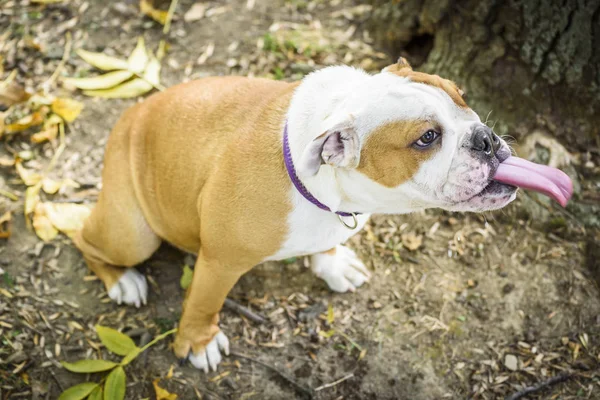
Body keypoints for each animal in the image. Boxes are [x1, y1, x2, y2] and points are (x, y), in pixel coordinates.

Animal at [75, 58, 572, 372]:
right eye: (427, 138)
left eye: (463, 98)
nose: (484, 137)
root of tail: (131, 113)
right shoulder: (219, 261)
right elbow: (204, 301)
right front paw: (198, 341)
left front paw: (332, 263)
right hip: (132, 233)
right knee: (84, 237)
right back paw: (123, 281)